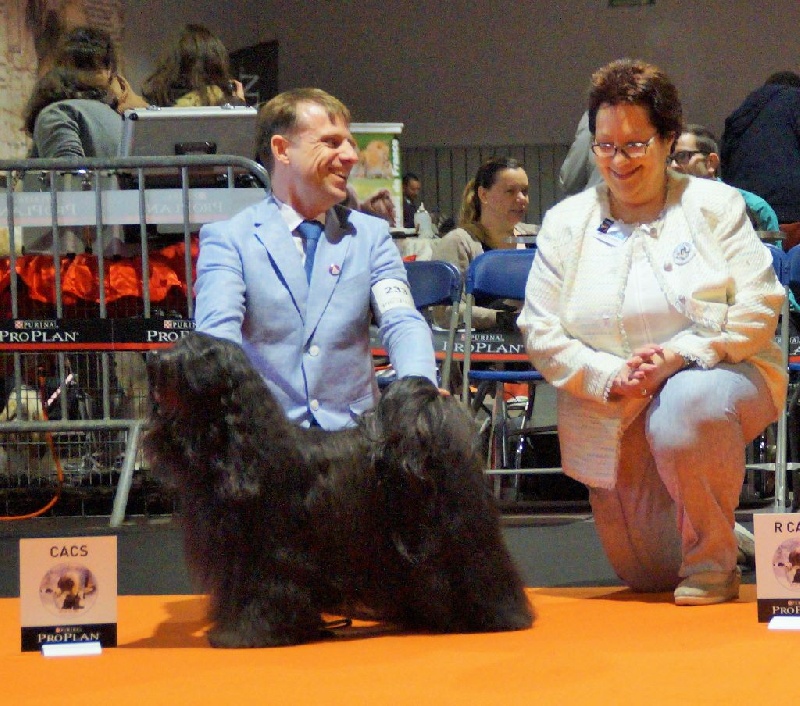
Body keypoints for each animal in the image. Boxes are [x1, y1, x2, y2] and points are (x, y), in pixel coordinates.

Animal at [143, 332, 533, 647]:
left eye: (189, 354)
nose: (152, 358)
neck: (244, 445)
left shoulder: (269, 556)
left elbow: (262, 595)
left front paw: (248, 635)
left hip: (460, 534)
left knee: (484, 570)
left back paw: (500, 616)